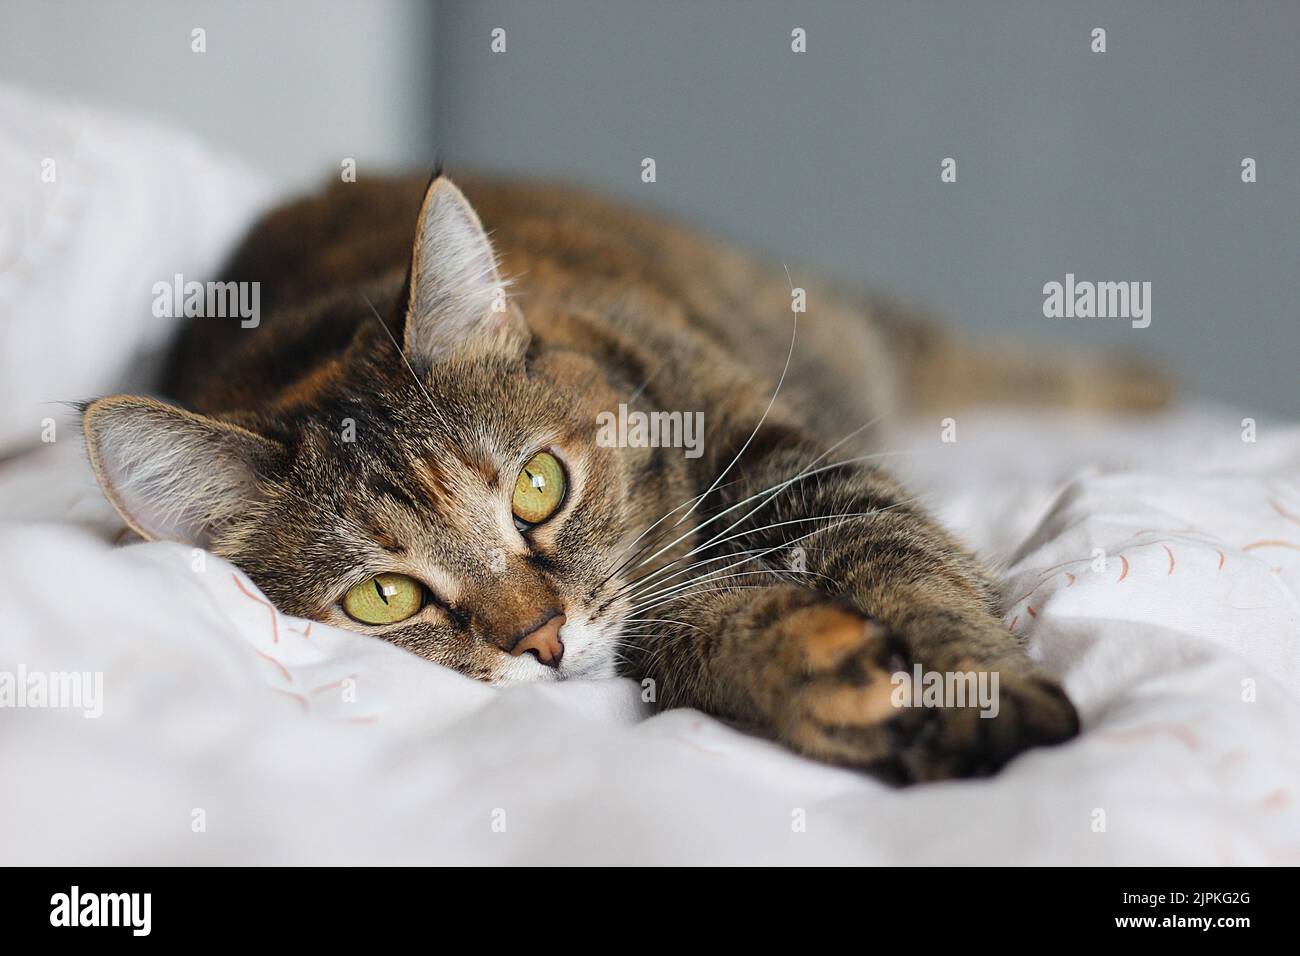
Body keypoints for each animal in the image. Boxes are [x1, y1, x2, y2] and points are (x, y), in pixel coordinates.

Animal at [83, 171, 1170, 785]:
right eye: (385, 597)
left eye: (537, 487)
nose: (541, 637)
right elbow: (689, 628)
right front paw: (809, 670)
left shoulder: (789, 467)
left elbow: (905, 560)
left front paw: (978, 688)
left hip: (843, 328)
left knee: (950, 350)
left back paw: (1135, 381)